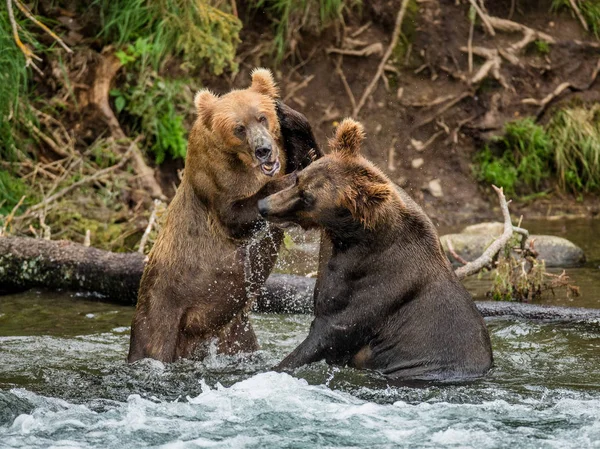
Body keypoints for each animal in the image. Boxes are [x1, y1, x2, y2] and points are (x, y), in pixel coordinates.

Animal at [128, 70, 322, 364]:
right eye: (238, 128)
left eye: (262, 117)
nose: (263, 149)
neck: (245, 165)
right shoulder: (213, 180)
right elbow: (236, 216)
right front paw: (286, 183)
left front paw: (290, 118)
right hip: (163, 306)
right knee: (153, 342)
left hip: (235, 330)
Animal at [258, 117, 492, 380]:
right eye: (299, 179)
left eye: (308, 198)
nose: (263, 206)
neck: (350, 236)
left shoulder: (371, 290)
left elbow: (329, 334)